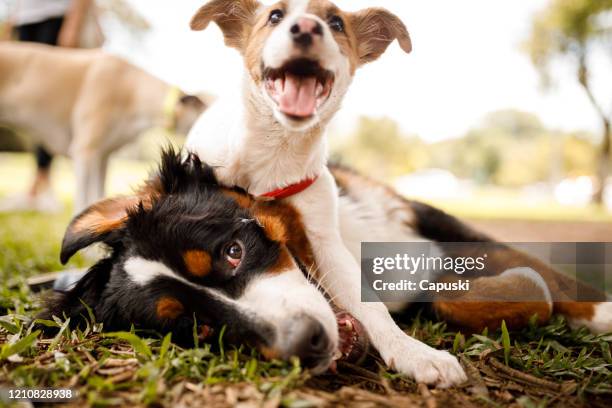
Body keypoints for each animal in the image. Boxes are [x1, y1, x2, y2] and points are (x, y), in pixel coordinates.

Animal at [44, 151, 612, 380]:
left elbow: (543, 272)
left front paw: (601, 313)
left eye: (233, 250)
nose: (307, 344)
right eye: (197, 328)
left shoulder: (429, 221)